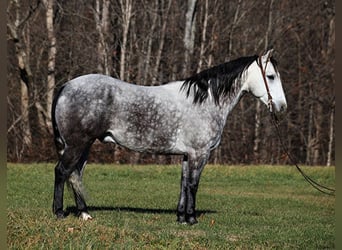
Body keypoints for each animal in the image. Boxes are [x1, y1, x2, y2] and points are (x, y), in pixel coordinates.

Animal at [51, 49, 286, 224]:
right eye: (271, 76)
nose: (282, 107)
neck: (205, 101)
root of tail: (66, 86)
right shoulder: (199, 153)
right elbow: (193, 184)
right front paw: (192, 218)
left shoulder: (187, 155)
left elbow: (183, 183)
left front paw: (181, 217)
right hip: (77, 145)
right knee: (62, 171)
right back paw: (59, 212)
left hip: (84, 146)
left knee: (76, 174)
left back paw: (84, 213)